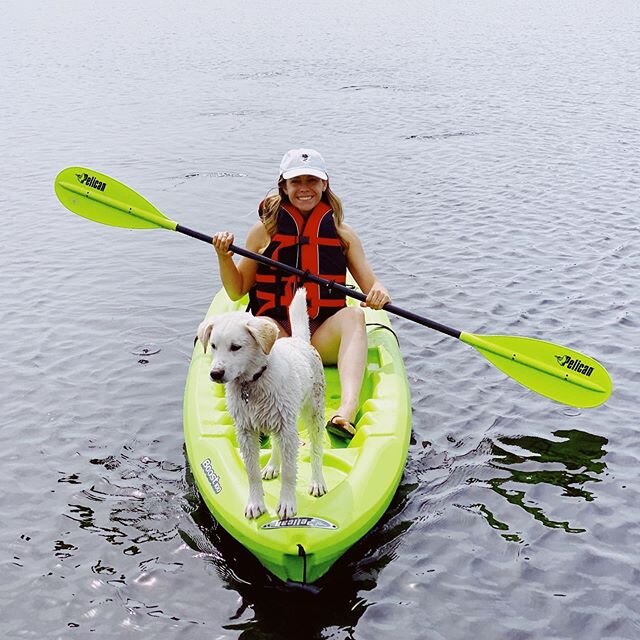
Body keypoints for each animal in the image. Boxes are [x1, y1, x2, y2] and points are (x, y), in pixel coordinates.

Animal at [198, 290, 328, 520]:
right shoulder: (245, 432)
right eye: (213, 346)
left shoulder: (288, 430)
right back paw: (272, 466)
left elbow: (289, 472)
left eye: (236, 347)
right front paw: (255, 503)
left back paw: (317, 481)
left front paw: (287, 504)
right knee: (276, 445)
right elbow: (251, 473)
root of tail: (299, 340)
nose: (215, 374)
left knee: (316, 449)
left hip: (313, 412)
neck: (253, 382)